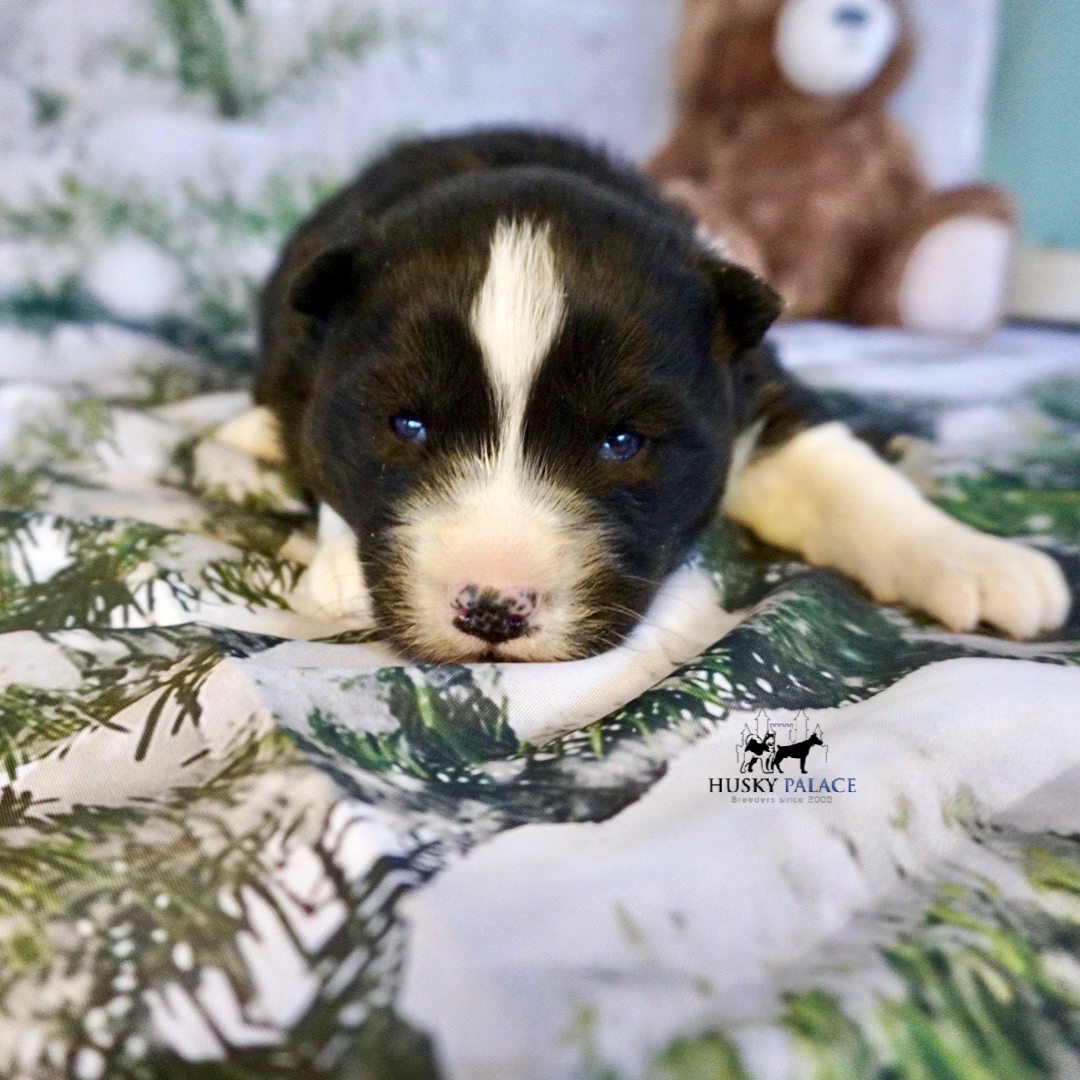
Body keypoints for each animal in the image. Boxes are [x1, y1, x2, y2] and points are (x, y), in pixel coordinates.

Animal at [221, 129, 1071, 660]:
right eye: (407, 426)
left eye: (621, 442)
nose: (493, 607)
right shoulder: (313, 365)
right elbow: (319, 446)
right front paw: (340, 565)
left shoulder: (749, 389)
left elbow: (843, 474)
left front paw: (975, 557)